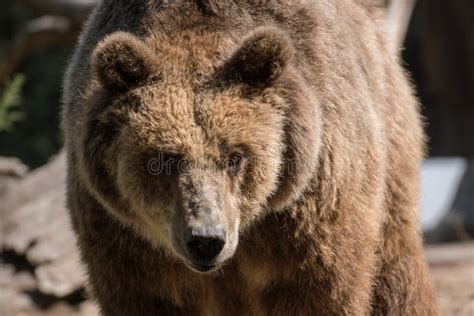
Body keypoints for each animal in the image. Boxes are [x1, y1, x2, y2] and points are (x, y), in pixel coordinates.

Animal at [63, 1, 440, 314]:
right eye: (165, 159)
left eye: (235, 157)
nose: (206, 240)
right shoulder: (124, 239)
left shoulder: (309, 216)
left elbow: (322, 290)